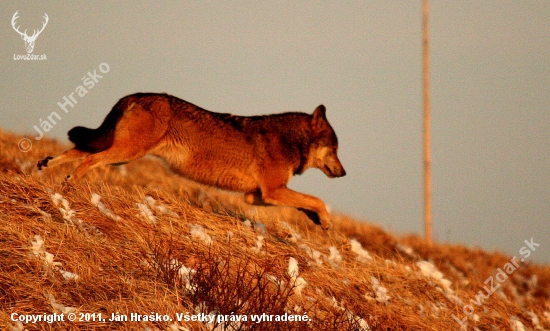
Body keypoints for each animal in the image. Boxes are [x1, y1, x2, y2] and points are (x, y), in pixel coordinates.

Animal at [38, 92, 348, 230]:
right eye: (335, 148)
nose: (344, 173)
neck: (290, 140)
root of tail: (136, 95)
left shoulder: (257, 196)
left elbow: (306, 202)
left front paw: (316, 219)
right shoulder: (272, 192)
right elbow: (317, 200)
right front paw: (326, 221)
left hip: (119, 152)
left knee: (77, 150)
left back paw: (46, 167)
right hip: (125, 154)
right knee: (89, 159)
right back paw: (69, 184)